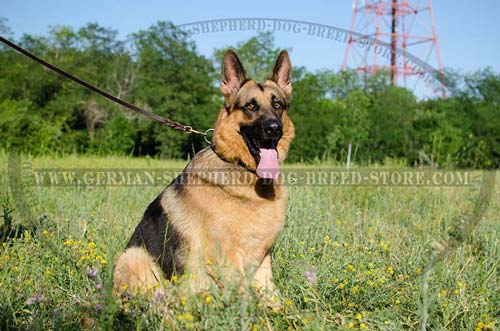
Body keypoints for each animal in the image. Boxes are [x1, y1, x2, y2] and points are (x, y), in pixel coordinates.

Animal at [113, 48, 292, 304]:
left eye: (278, 105)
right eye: (250, 106)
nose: (274, 127)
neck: (240, 168)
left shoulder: (262, 261)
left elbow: (274, 299)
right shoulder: (230, 258)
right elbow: (243, 301)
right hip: (135, 255)